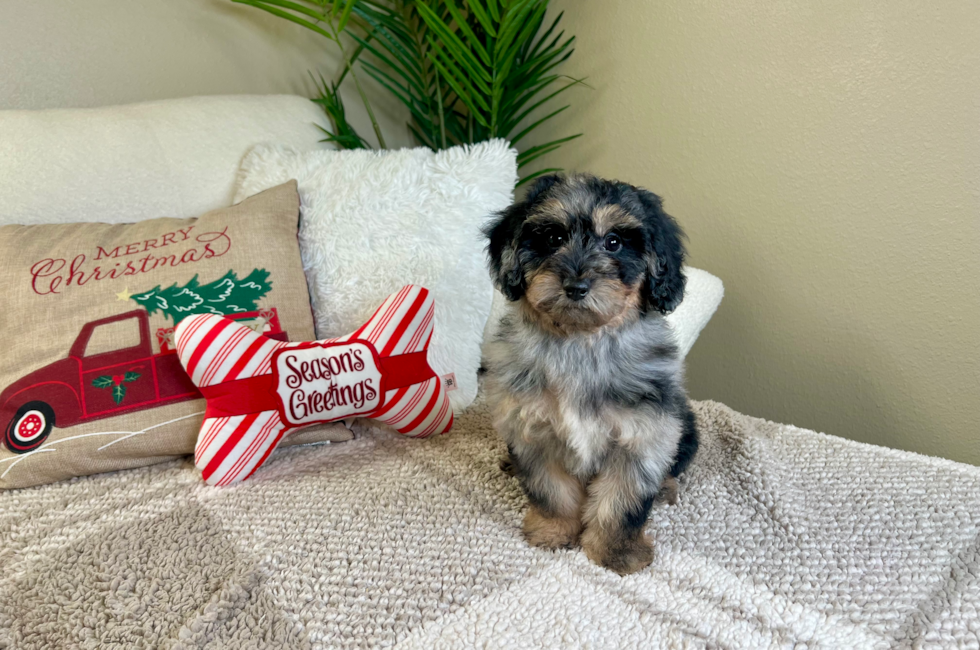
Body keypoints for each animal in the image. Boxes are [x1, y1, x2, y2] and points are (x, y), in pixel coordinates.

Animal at [482, 171, 696, 572]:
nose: (576, 286)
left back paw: (666, 486)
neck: (581, 344)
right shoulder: (534, 431)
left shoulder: (641, 437)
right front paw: (553, 533)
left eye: (614, 242)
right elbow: (551, 493)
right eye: (553, 238)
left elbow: (622, 504)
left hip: (685, 426)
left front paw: (616, 552)